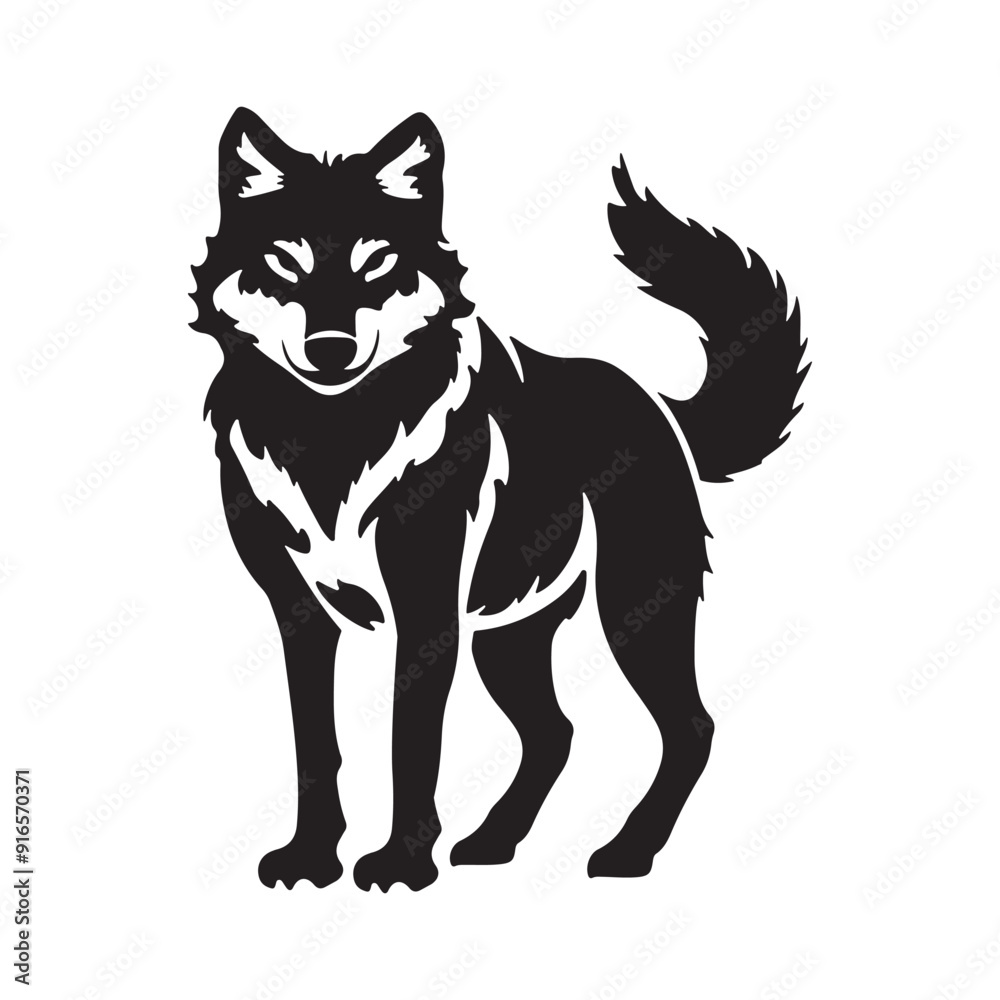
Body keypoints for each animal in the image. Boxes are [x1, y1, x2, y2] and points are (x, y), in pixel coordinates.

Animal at [190, 108, 807, 891]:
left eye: (377, 263)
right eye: (283, 263)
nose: (331, 348)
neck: (332, 437)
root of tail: (655, 402)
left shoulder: (426, 613)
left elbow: (411, 742)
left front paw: (401, 863)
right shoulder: (299, 615)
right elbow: (314, 746)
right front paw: (310, 856)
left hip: (633, 610)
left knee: (690, 728)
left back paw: (627, 852)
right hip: (508, 639)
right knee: (556, 733)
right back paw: (493, 841)